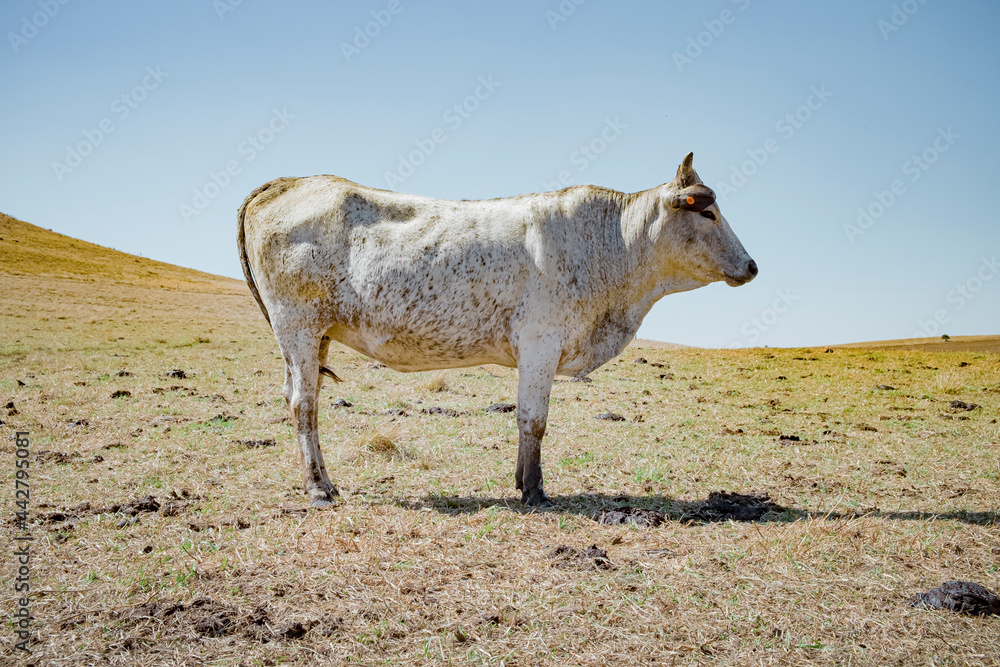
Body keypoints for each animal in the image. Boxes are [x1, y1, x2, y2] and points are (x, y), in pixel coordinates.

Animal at [237, 152, 757, 508]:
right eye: (706, 212)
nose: (752, 266)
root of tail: (289, 182)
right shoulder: (541, 342)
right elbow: (534, 420)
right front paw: (535, 491)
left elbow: (528, 420)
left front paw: (523, 484)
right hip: (298, 325)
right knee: (303, 405)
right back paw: (318, 488)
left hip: (314, 336)